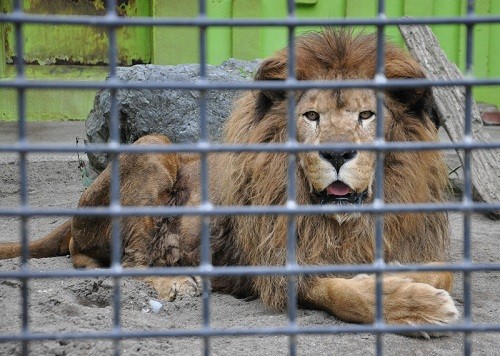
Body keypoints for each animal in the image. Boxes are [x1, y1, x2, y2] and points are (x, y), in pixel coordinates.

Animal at [0, 29, 458, 330]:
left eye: (367, 115)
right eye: (311, 116)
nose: (338, 153)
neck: (341, 223)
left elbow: (437, 272)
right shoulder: (280, 267)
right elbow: (342, 294)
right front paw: (421, 307)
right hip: (152, 148)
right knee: (119, 260)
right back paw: (178, 284)